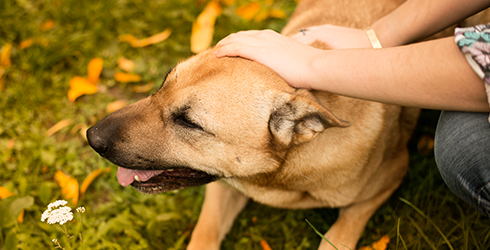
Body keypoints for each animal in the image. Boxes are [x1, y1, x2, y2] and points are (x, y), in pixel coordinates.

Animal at [86, 0, 488, 248]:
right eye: (164, 83)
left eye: (189, 122)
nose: (92, 137)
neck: (283, 173)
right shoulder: (223, 188)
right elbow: (203, 235)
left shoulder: (388, 178)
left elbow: (336, 238)